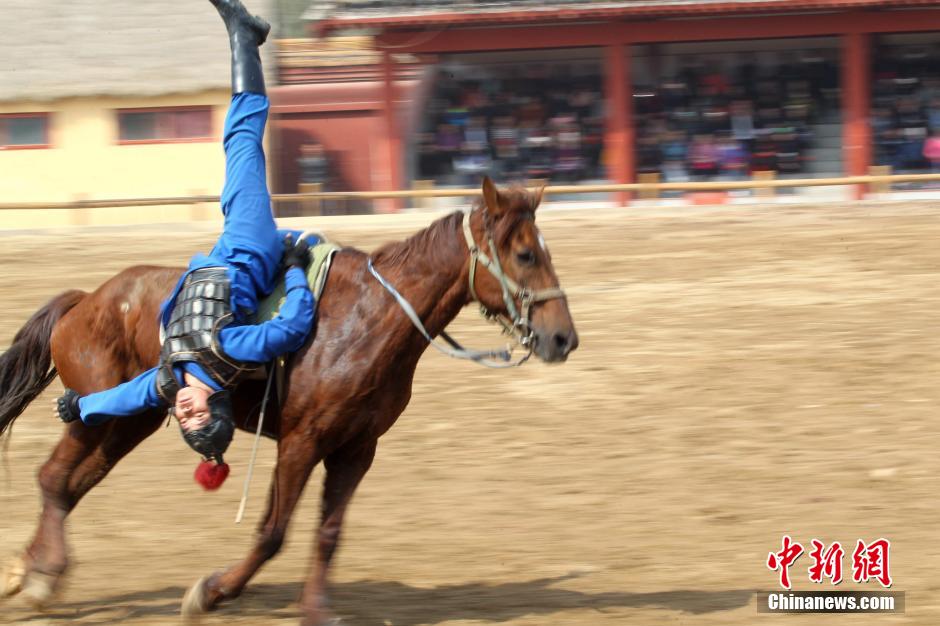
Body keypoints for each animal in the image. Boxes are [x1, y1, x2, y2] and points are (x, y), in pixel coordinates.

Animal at [0, 177, 576, 624]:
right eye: (525, 254)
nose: (563, 338)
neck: (372, 316)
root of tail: (85, 300)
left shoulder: (356, 448)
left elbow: (328, 533)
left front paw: (315, 610)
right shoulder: (302, 441)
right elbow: (273, 531)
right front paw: (211, 592)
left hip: (128, 420)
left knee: (70, 484)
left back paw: (28, 571)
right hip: (99, 416)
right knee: (54, 478)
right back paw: (42, 577)